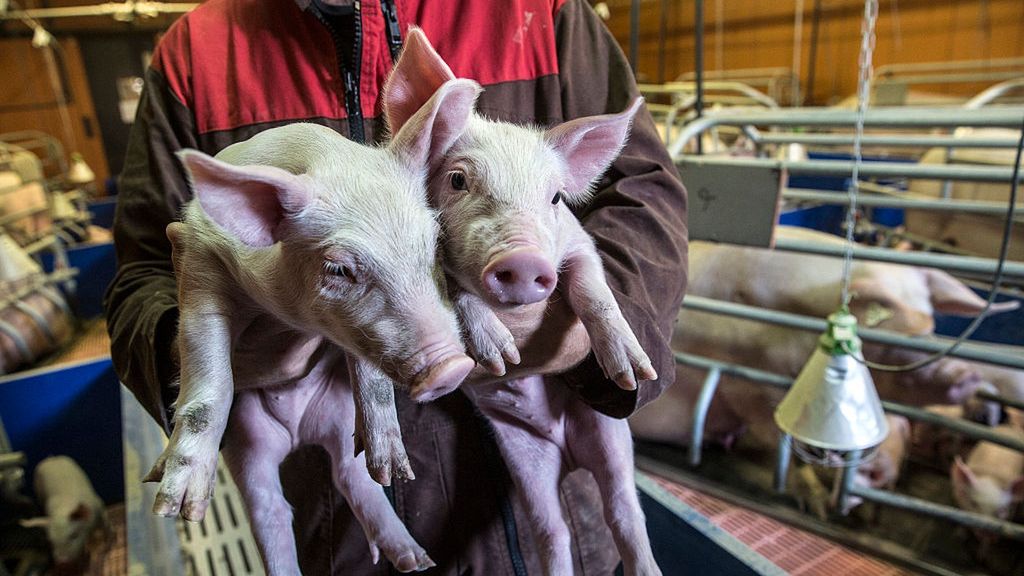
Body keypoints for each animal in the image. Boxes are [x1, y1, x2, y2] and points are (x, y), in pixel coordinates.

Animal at [144, 77, 482, 573]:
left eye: (434, 242)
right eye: (338, 269)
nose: (453, 367)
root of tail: (299, 433)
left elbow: (369, 374)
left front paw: (398, 470)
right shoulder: (198, 258)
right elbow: (210, 380)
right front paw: (175, 510)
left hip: (337, 418)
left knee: (351, 475)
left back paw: (412, 548)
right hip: (249, 441)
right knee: (270, 508)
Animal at [383, 29, 660, 576]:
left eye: (554, 198)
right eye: (458, 180)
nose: (526, 260)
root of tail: (562, 445)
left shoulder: (578, 243)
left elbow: (591, 290)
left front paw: (632, 372)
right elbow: (455, 290)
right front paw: (500, 356)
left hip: (609, 432)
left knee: (624, 511)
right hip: (523, 456)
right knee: (551, 529)